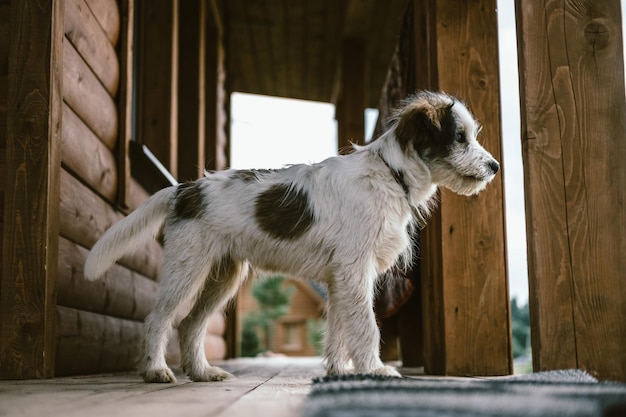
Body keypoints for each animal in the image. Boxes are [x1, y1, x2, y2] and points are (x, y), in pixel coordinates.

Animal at [85, 90, 500, 380]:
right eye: (459, 136)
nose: (495, 166)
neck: (390, 175)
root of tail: (185, 189)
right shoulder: (355, 270)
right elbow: (366, 326)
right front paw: (374, 369)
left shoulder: (340, 279)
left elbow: (339, 329)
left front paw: (339, 371)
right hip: (187, 269)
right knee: (157, 319)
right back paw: (156, 370)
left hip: (222, 276)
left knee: (190, 325)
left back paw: (202, 373)